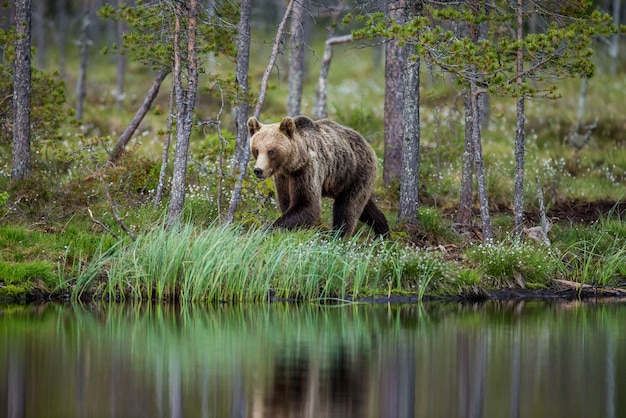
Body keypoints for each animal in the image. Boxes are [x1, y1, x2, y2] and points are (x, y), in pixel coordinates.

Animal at [247, 116, 386, 237]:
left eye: (271, 151)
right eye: (256, 150)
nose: (258, 170)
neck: (292, 165)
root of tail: (367, 144)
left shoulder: (306, 170)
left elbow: (307, 204)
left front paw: (267, 229)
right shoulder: (283, 178)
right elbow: (286, 202)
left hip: (355, 172)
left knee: (348, 207)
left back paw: (339, 236)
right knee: (365, 206)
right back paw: (382, 230)